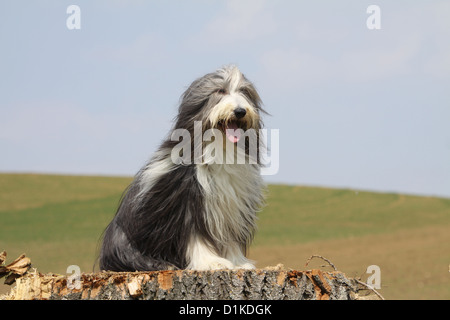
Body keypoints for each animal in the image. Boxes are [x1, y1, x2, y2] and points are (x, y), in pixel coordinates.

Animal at [98, 66, 266, 272]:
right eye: (220, 91)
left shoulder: (232, 202)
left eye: (244, 92)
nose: (240, 111)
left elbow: (229, 237)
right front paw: (212, 261)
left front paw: (237, 262)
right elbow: (195, 236)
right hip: (123, 241)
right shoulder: (187, 201)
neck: (219, 149)